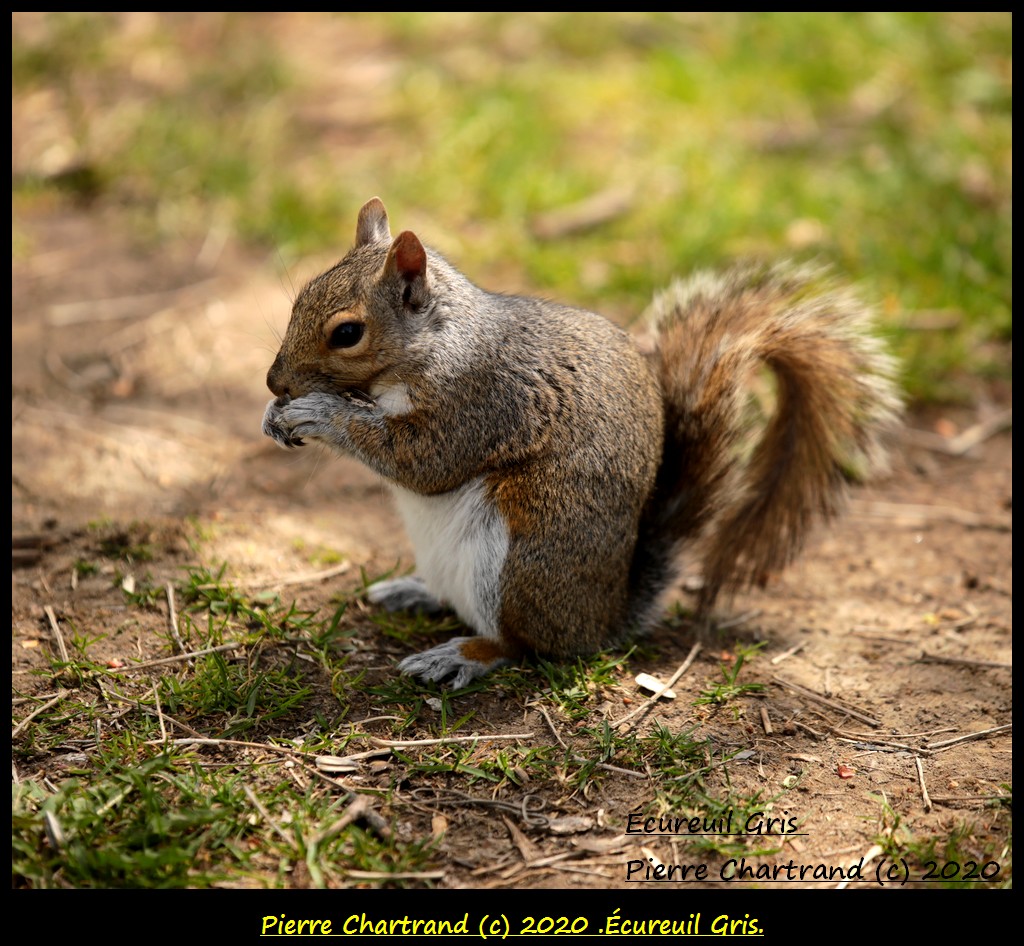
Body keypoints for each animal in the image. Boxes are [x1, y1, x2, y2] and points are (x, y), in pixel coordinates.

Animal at [262, 197, 897, 688]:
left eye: (347, 333)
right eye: (299, 298)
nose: (274, 382)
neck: (435, 344)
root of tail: (602, 618)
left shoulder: (481, 402)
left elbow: (422, 461)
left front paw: (318, 412)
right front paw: (275, 415)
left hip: (517, 565)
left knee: (521, 643)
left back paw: (463, 654)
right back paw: (414, 592)